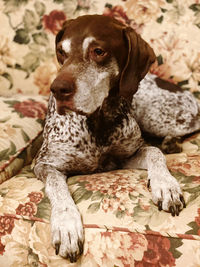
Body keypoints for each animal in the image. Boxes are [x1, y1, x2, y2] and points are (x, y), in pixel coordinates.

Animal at [33, 14, 200, 262]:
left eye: (98, 51)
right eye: (62, 52)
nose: (57, 89)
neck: (98, 121)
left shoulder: (124, 158)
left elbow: (154, 153)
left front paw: (165, 184)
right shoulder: (44, 164)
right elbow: (56, 185)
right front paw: (66, 225)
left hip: (155, 116)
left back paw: (171, 143)